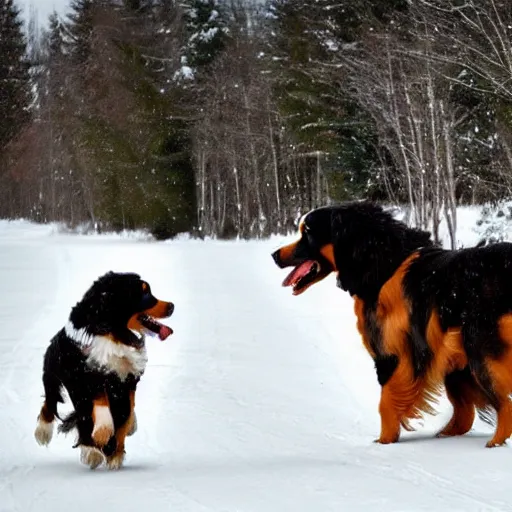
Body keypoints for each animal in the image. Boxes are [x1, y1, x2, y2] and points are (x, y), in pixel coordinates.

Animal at [34, 272, 174, 468]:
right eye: (144, 293)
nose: (171, 306)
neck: (113, 332)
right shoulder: (87, 375)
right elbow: (98, 405)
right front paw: (101, 436)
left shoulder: (128, 379)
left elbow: (126, 414)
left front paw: (115, 454)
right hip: (54, 368)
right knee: (50, 399)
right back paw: (44, 433)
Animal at [274, 201, 512, 448]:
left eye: (308, 233)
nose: (275, 255)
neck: (383, 265)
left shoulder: (390, 354)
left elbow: (386, 404)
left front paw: (383, 443)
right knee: (468, 411)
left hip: (480, 350)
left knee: (505, 405)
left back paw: (495, 442)